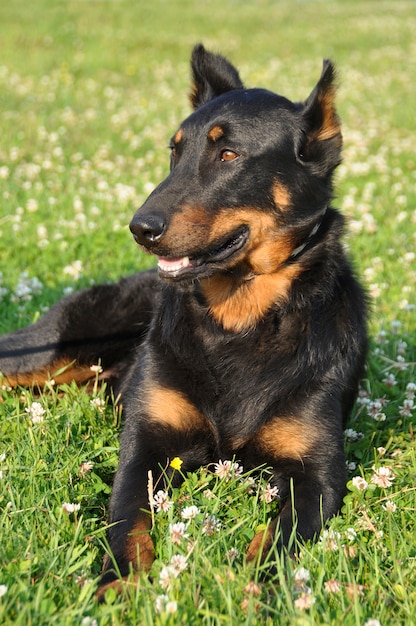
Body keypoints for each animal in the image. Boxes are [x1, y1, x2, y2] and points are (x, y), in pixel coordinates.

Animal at [0, 45, 368, 596]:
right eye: (175, 152)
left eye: (228, 155)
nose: (139, 228)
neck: (239, 320)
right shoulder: (145, 447)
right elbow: (128, 520)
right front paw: (118, 583)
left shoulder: (317, 474)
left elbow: (279, 541)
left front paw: (256, 591)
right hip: (48, 352)